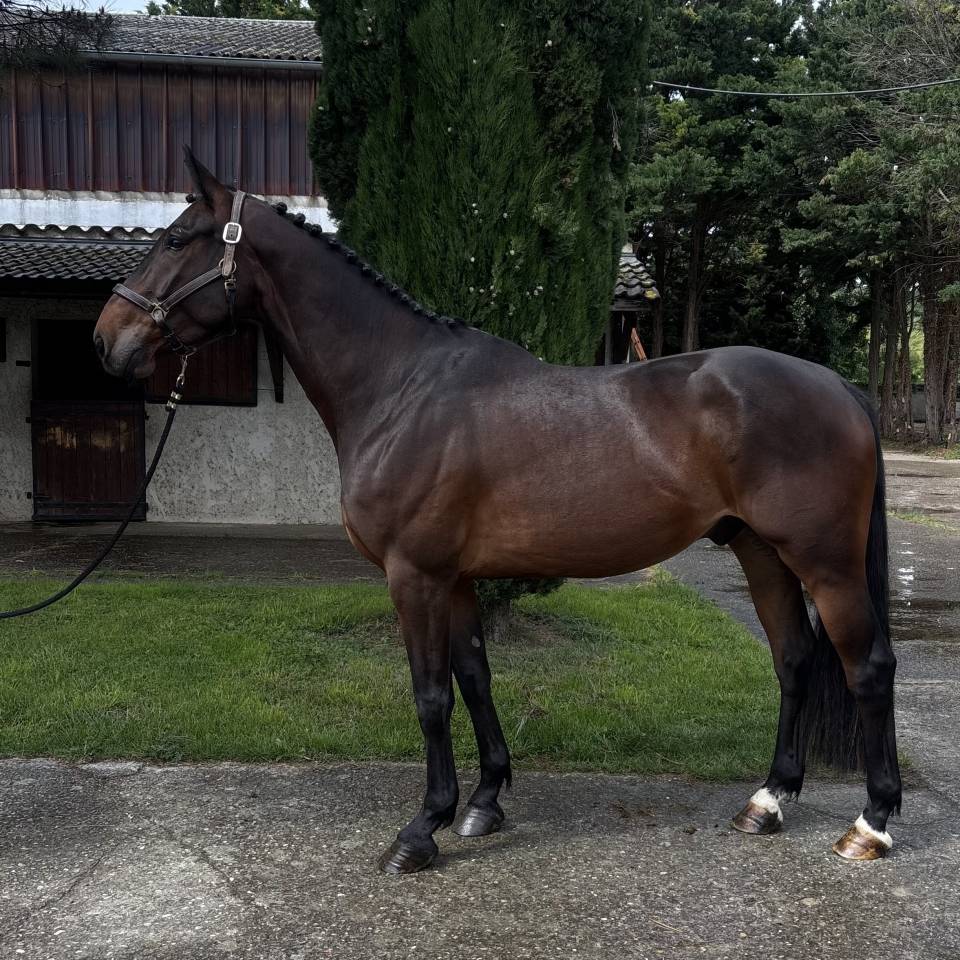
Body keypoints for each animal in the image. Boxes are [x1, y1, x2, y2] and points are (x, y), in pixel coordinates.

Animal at [94, 148, 901, 874]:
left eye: (175, 240)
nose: (106, 340)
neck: (401, 387)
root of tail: (838, 384)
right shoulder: (454, 577)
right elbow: (475, 677)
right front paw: (483, 803)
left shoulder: (413, 575)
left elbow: (430, 697)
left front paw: (420, 831)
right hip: (759, 551)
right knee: (793, 658)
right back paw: (767, 802)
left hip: (825, 562)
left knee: (867, 666)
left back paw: (871, 824)